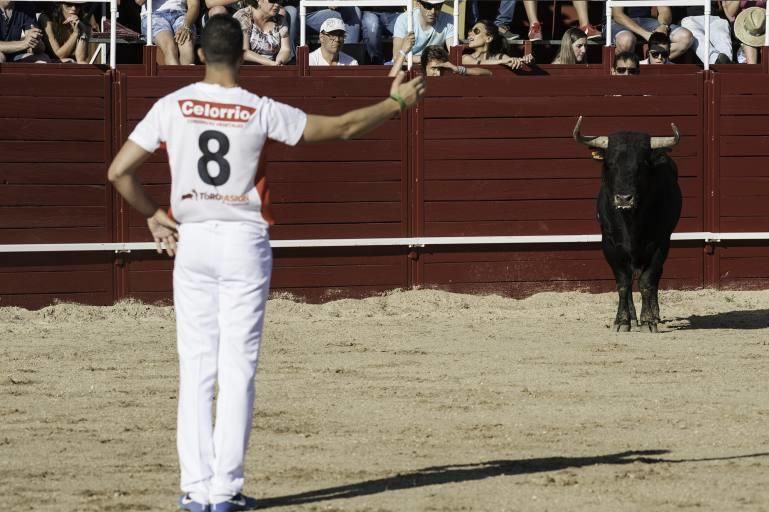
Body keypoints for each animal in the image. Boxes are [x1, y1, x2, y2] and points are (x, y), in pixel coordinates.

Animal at [572, 115, 680, 332]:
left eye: (641, 165)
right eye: (610, 163)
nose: (624, 198)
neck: (631, 222)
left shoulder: (660, 244)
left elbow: (647, 281)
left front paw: (648, 321)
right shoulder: (610, 244)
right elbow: (623, 283)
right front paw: (622, 320)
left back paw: (654, 315)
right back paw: (631, 317)